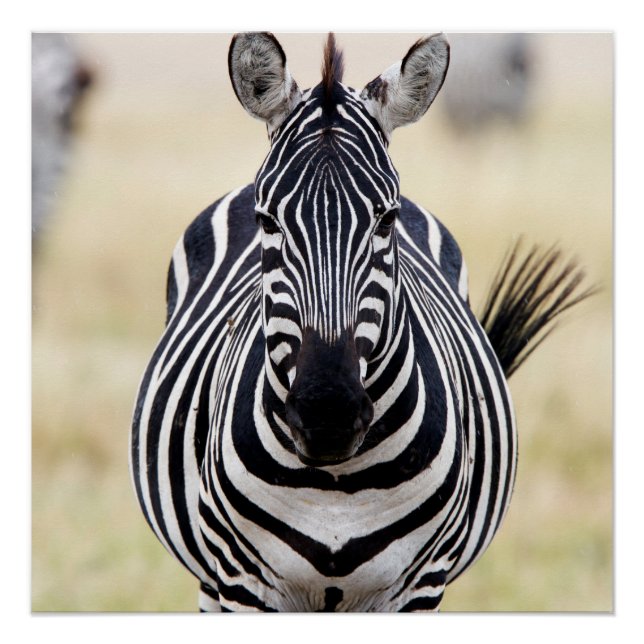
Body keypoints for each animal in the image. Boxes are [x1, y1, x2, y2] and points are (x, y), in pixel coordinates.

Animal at [130, 32, 590, 612]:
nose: (327, 414)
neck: (337, 486)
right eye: (266, 220)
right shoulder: (242, 582)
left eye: (386, 219)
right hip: (212, 578)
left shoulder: (420, 586)